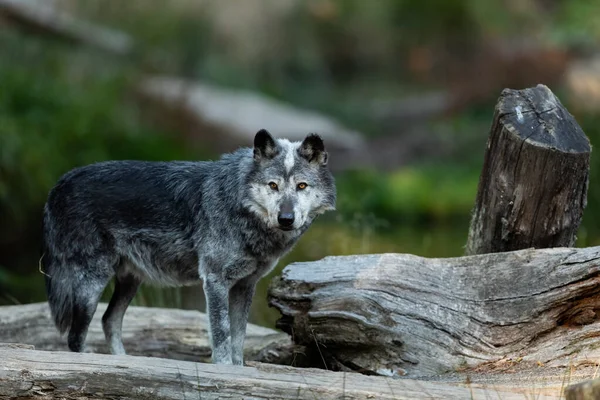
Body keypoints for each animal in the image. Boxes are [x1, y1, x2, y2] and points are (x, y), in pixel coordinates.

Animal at [39, 130, 336, 366]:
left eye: (301, 186)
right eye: (273, 185)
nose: (286, 218)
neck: (238, 205)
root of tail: (59, 184)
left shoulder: (244, 285)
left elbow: (239, 340)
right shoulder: (214, 280)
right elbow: (222, 336)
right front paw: (225, 372)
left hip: (129, 281)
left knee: (109, 320)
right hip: (92, 284)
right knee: (76, 337)